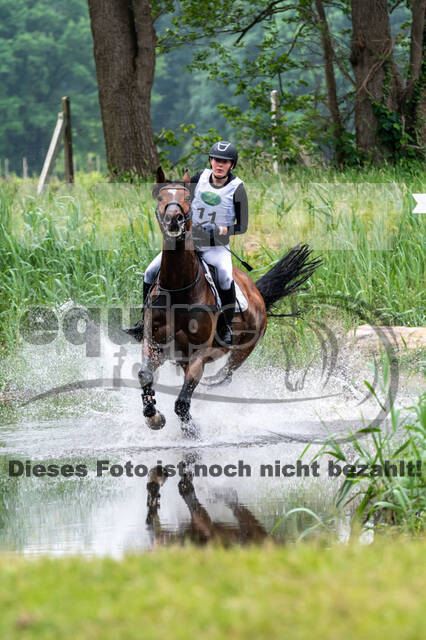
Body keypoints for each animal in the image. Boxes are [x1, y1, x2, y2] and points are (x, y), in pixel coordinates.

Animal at [137, 168, 321, 436]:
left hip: (241, 351)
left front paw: (191, 430)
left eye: (187, 198)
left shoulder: (199, 354)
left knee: (222, 379)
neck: (178, 289)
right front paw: (153, 416)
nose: (174, 220)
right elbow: (144, 374)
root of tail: (257, 293)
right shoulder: (155, 344)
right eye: (160, 198)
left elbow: (182, 402)